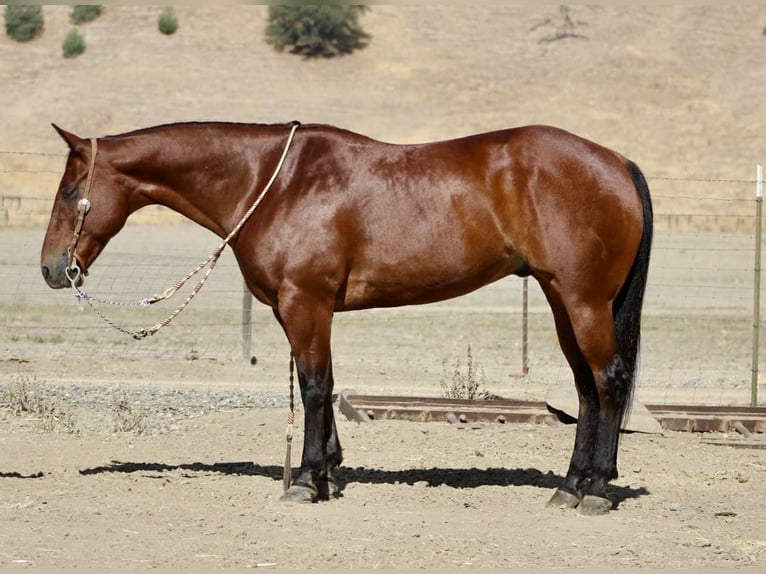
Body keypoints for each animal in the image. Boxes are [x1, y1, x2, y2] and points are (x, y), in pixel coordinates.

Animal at [41, 120, 652, 515]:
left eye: (70, 190)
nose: (51, 268)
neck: (275, 182)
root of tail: (616, 162)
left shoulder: (305, 303)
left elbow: (313, 387)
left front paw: (307, 481)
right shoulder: (302, 310)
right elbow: (327, 383)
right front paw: (329, 471)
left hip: (583, 301)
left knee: (608, 381)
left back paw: (596, 490)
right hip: (561, 300)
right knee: (586, 389)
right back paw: (570, 486)